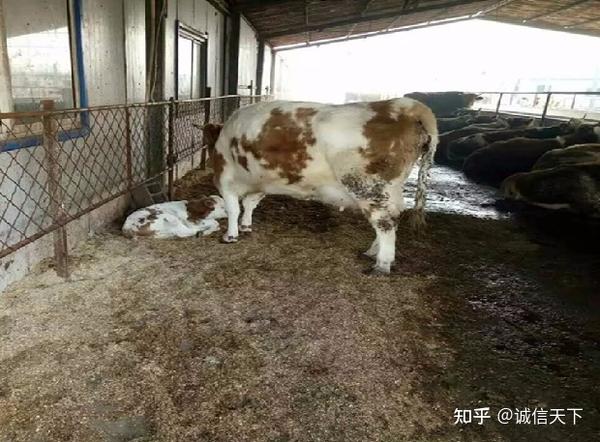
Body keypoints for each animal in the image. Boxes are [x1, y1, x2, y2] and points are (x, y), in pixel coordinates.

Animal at [211, 98, 439, 274]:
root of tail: (404, 105)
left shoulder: (224, 177)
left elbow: (233, 208)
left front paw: (230, 235)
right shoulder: (260, 182)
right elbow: (249, 204)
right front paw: (246, 225)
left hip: (370, 188)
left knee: (385, 222)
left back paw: (382, 264)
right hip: (389, 190)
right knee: (395, 216)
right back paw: (373, 251)